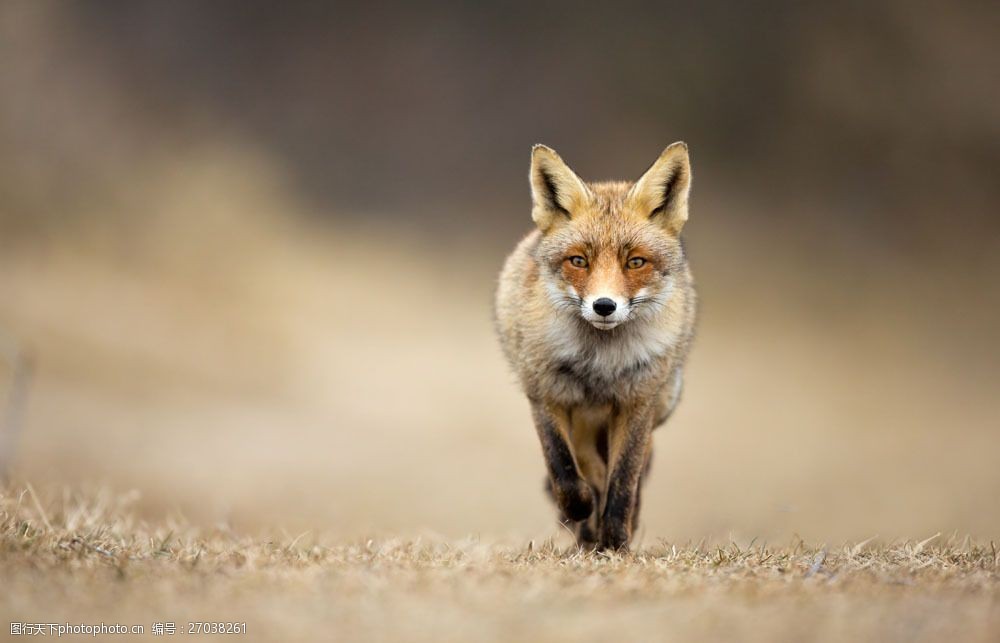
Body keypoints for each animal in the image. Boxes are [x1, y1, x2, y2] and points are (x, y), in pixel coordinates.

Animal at [492, 143, 696, 552]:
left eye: (635, 262)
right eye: (578, 261)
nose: (604, 306)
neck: (599, 362)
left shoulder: (637, 404)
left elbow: (624, 481)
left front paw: (616, 542)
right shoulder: (546, 396)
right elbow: (564, 470)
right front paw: (581, 511)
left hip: (656, 405)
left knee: (635, 470)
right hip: (583, 417)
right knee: (588, 466)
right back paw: (585, 528)